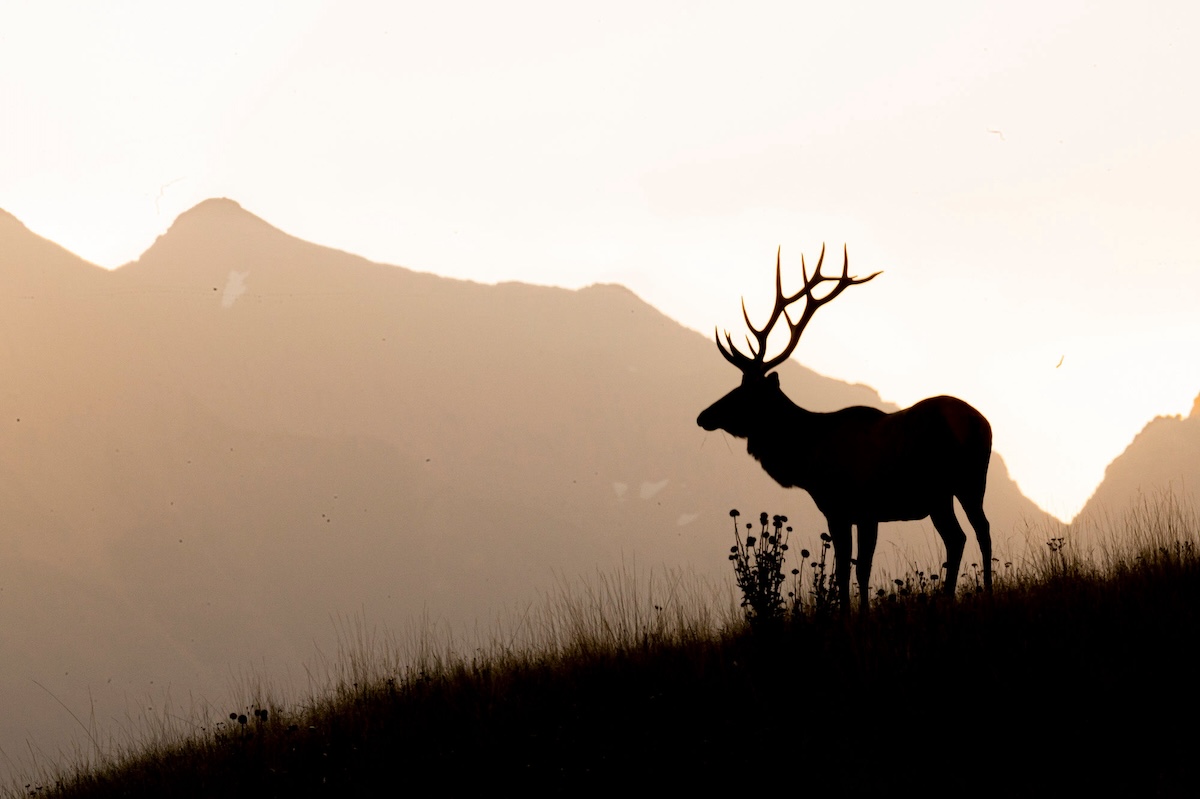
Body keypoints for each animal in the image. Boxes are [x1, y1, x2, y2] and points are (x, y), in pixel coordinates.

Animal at [697, 245, 992, 609]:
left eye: (744, 393)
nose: (703, 416)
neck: (807, 459)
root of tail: (982, 423)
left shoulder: (855, 507)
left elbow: (857, 569)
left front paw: (857, 614)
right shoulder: (845, 511)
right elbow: (843, 570)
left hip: (964, 480)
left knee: (975, 532)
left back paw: (979, 591)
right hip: (946, 493)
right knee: (963, 535)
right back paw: (953, 595)